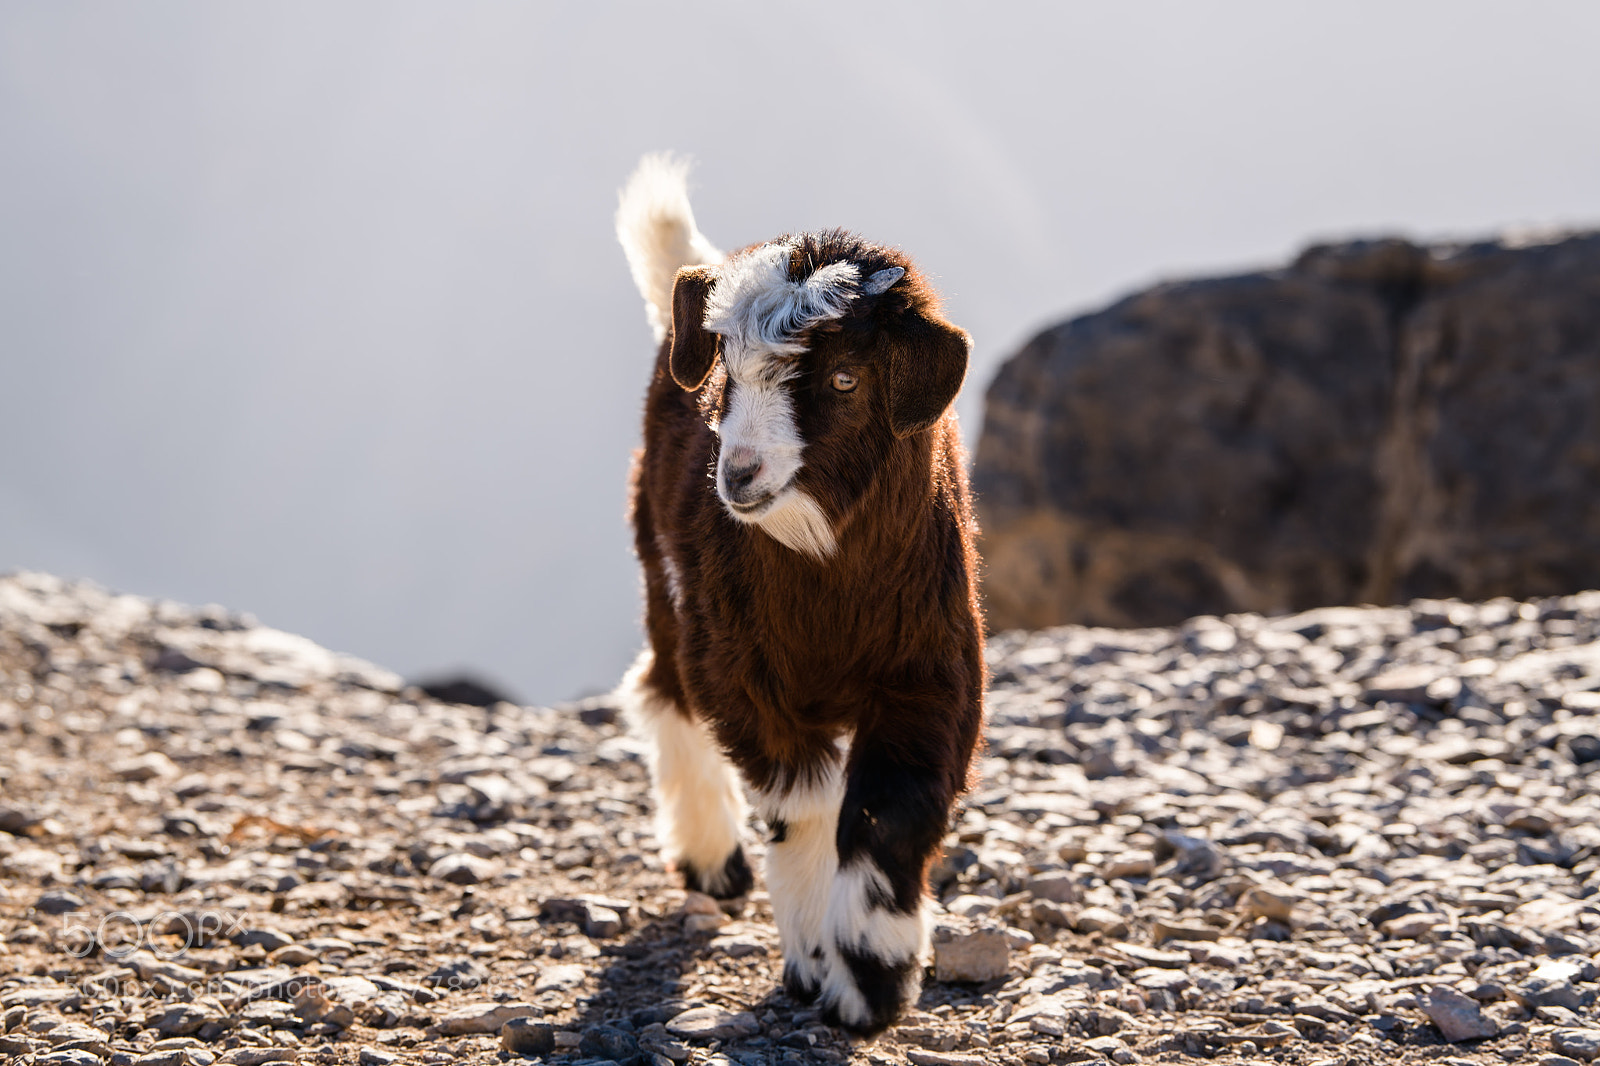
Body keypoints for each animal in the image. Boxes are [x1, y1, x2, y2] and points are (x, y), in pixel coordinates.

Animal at [614, 154, 985, 1035]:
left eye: (848, 377)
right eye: (726, 364)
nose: (740, 476)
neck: (827, 583)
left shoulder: (932, 674)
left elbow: (890, 811)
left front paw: (872, 980)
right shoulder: (746, 674)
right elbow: (806, 805)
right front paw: (820, 961)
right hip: (663, 574)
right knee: (664, 687)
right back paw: (713, 859)